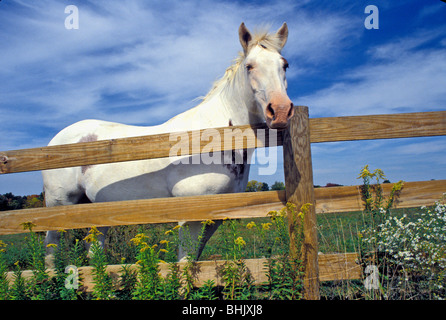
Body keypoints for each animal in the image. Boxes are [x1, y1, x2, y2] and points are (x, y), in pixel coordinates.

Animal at [41, 22, 292, 262]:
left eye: (285, 65)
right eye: (250, 66)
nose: (280, 111)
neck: (213, 139)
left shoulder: (215, 217)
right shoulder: (190, 217)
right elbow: (185, 263)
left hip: (95, 210)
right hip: (59, 205)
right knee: (51, 250)